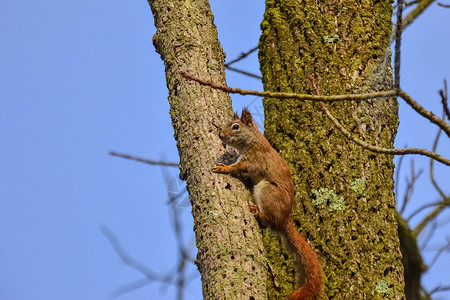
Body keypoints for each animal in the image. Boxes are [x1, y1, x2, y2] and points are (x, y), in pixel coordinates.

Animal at [212, 108, 324, 300]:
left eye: (236, 127)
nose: (221, 135)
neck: (252, 140)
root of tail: (284, 219)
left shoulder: (253, 159)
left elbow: (238, 167)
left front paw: (224, 168)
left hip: (266, 191)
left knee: (268, 220)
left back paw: (257, 212)